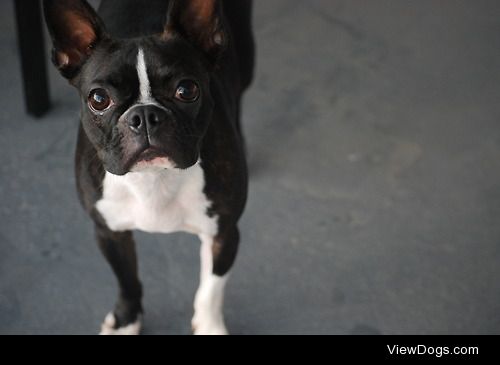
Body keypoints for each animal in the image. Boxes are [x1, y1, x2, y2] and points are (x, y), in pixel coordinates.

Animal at [43, 0, 254, 334]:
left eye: (187, 90)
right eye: (98, 99)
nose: (144, 115)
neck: (154, 177)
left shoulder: (224, 233)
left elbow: (210, 289)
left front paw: (208, 326)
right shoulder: (109, 232)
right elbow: (126, 279)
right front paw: (126, 320)